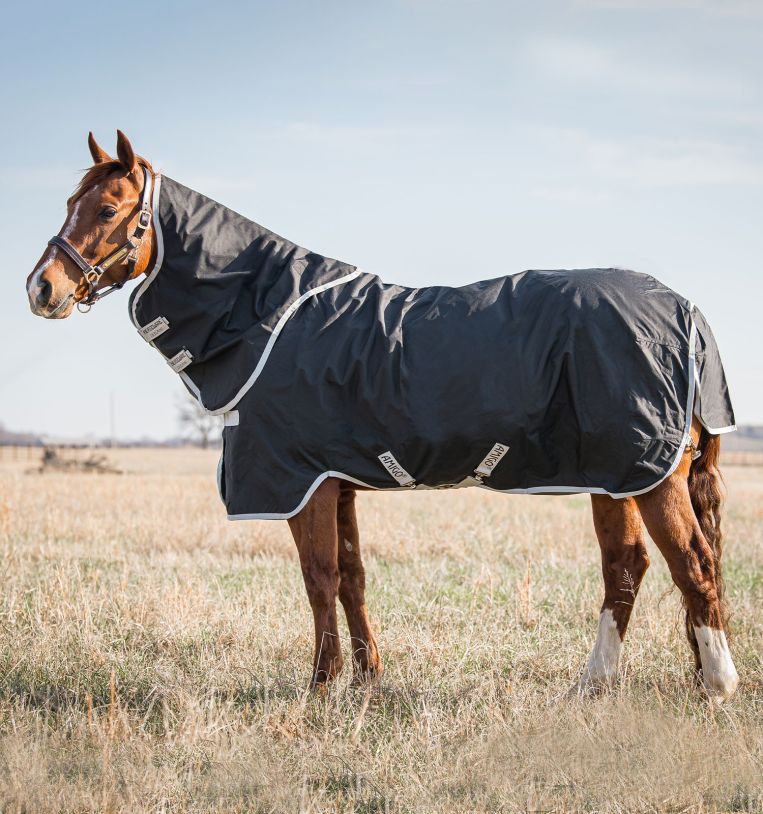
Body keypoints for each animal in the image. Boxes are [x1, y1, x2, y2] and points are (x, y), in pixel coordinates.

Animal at [26, 131, 739, 701]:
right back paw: (594, 684)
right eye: (69, 205)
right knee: (627, 568)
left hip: (649, 473)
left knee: (692, 564)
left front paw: (320, 686)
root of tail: (686, 312)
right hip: (615, 476)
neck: (269, 314)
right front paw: (368, 680)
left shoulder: (303, 483)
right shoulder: (336, 482)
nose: (41, 288)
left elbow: (318, 579)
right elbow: (352, 578)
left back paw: (717, 683)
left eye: (108, 209)